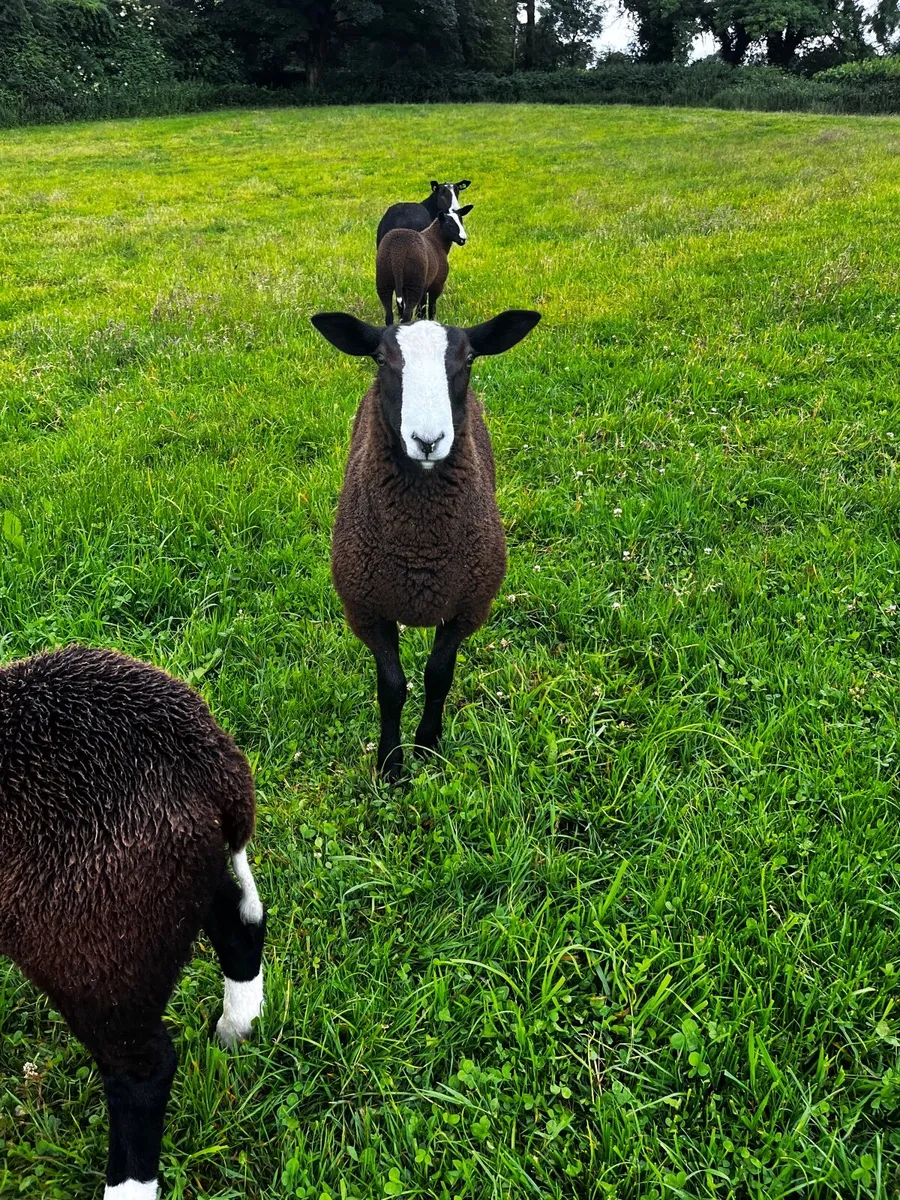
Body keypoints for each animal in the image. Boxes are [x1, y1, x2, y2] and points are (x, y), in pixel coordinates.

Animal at [0, 645, 266, 1199]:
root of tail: (211, 766)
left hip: (92, 944)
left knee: (142, 1070)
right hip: (173, 888)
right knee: (240, 929)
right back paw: (237, 1028)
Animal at [310, 308, 541, 781]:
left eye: (468, 359)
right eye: (381, 359)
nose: (428, 441)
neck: (420, 550)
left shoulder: (467, 606)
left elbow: (438, 676)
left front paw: (427, 746)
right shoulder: (367, 610)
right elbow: (392, 687)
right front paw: (390, 765)